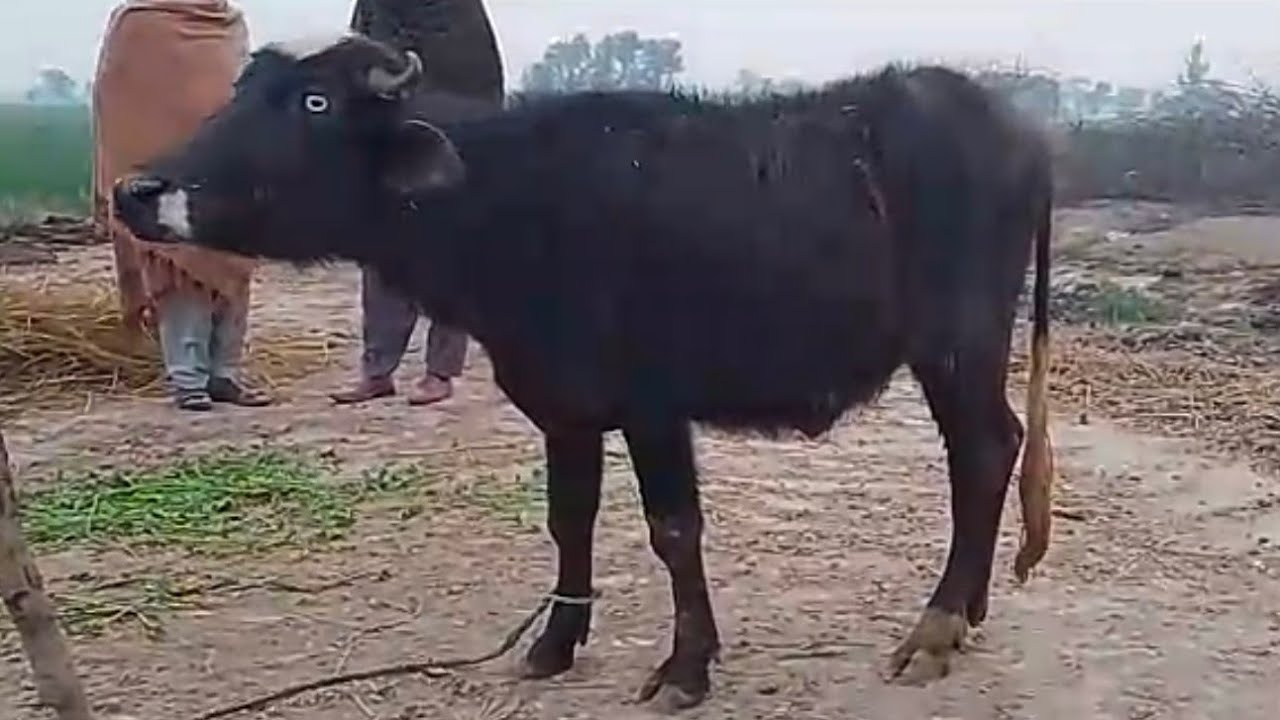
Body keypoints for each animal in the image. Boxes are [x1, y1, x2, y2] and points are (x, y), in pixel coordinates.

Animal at [113, 33, 1056, 711]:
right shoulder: (563, 405)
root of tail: (1016, 130)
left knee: (982, 451)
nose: (138, 191)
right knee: (993, 451)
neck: (507, 198)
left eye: (313, 101)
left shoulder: (652, 405)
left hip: (958, 347)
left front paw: (685, 668)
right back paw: (964, 612)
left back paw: (935, 628)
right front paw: (552, 647)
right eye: (241, 95)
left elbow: (673, 531)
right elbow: (569, 521)